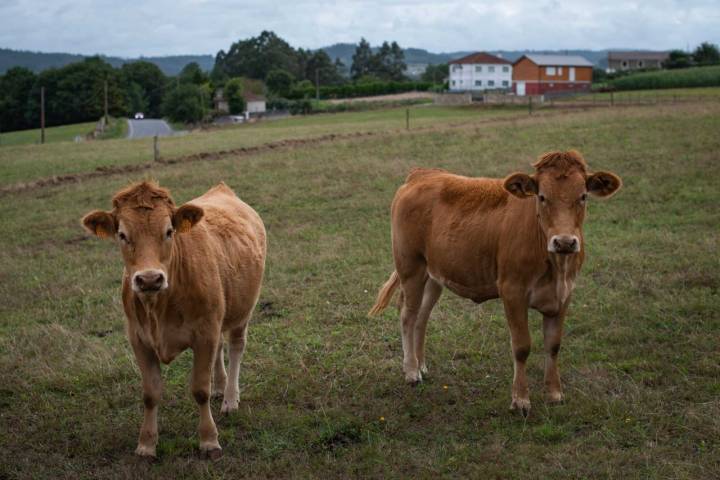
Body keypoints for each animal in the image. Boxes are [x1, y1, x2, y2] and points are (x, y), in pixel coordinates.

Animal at [81, 182, 266, 460]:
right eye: (122, 235)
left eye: (169, 231)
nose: (149, 279)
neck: (160, 307)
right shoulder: (139, 339)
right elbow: (150, 393)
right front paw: (146, 444)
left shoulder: (204, 334)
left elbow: (200, 389)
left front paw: (209, 440)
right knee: (221, 348)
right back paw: (220, 388)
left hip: (242, 310)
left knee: (236, 347)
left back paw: (230, 399)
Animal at [368, 151, 620, 416]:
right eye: (542, 196)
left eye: (583, 196)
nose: (564, 242)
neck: (555, 265)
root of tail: (422, 173)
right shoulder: (512, 291)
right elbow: (521, 346)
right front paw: (520, 400)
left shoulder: (564, 294)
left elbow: (553, 345)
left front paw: (554, 394)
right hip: (410, 266)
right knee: (408, 314)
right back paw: (411, 371)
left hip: (434, 274)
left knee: (421, 316)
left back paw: (421, 365)